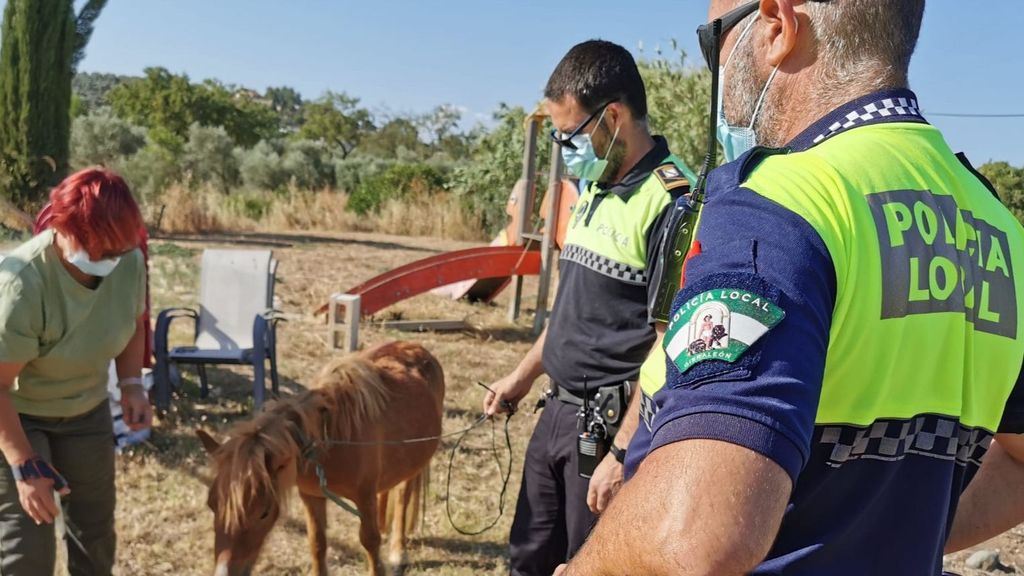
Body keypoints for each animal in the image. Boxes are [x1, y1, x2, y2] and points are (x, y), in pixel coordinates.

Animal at [197, 340, 442, 573]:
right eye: (211, 504)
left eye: (263, 513)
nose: (223, 572)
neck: (329, 440)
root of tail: (417, 349)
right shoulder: (311, 496)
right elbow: (318, 544)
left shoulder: (364, 498)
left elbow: (370, 542)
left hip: (413, 468)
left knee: (402, 499)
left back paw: (398, 553)